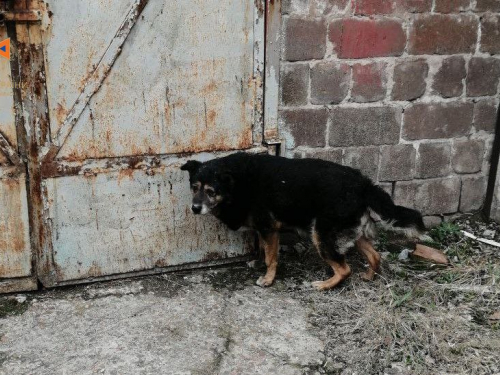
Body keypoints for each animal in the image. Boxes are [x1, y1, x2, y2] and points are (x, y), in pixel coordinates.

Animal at [182, 153, 428, 290]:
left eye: (211, 191)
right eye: (194, 187)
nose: (195, 208)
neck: (236, 182)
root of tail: (363, 184)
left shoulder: (269, 228)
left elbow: (271, 257)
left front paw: (268, 279)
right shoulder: (264, 231)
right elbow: (264, 252)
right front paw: (260, 265)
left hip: (322, 234)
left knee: (344, 268)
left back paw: (324, 286)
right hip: (348, 231)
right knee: (375, 256)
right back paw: (368, 276)